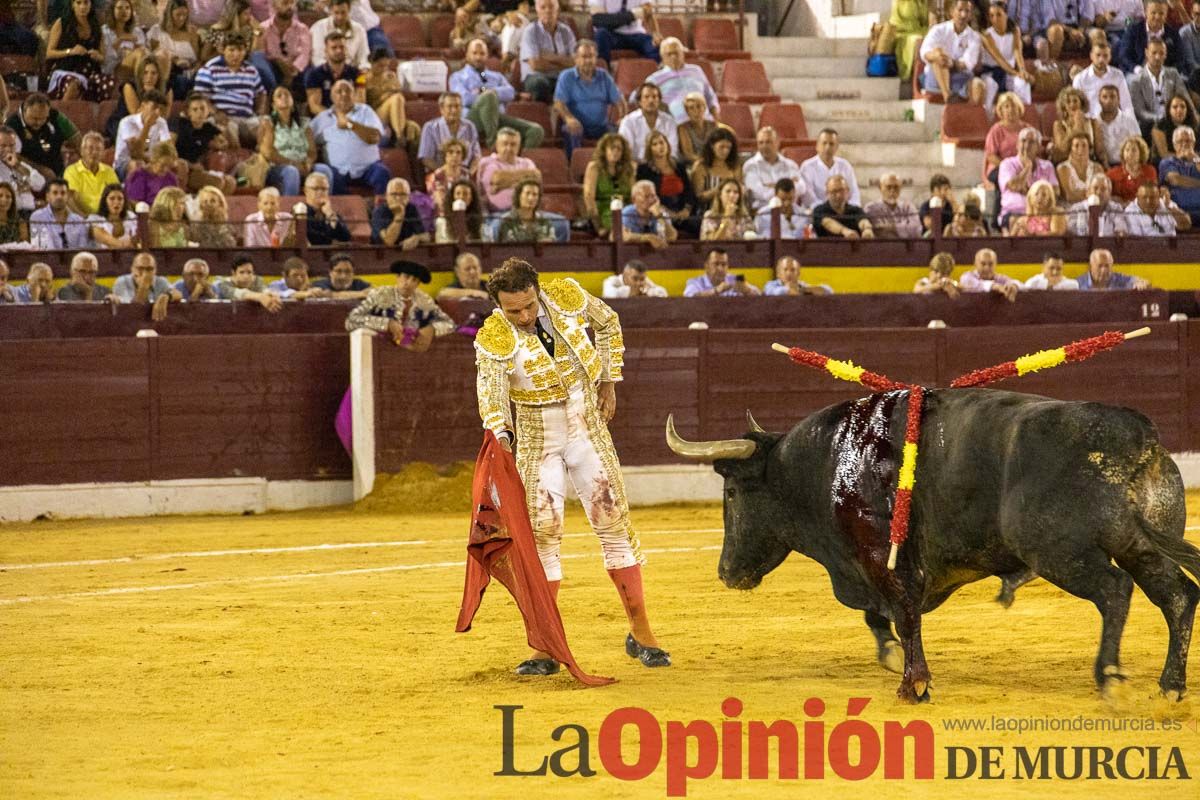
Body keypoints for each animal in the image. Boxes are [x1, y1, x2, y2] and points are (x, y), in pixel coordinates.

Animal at [667, 391, 1200, 705]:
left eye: (731, 492)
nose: (726, 571)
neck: (827, 462)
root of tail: (1137, 436)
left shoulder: (882, 559)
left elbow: (904, 615)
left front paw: (914, 684)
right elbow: (881, 615)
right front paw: (892, 657)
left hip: (1060, 553)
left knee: (1115, 591)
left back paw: (1109, 676)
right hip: (1140, 544)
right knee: (1177, 595)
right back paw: (1170, 686)